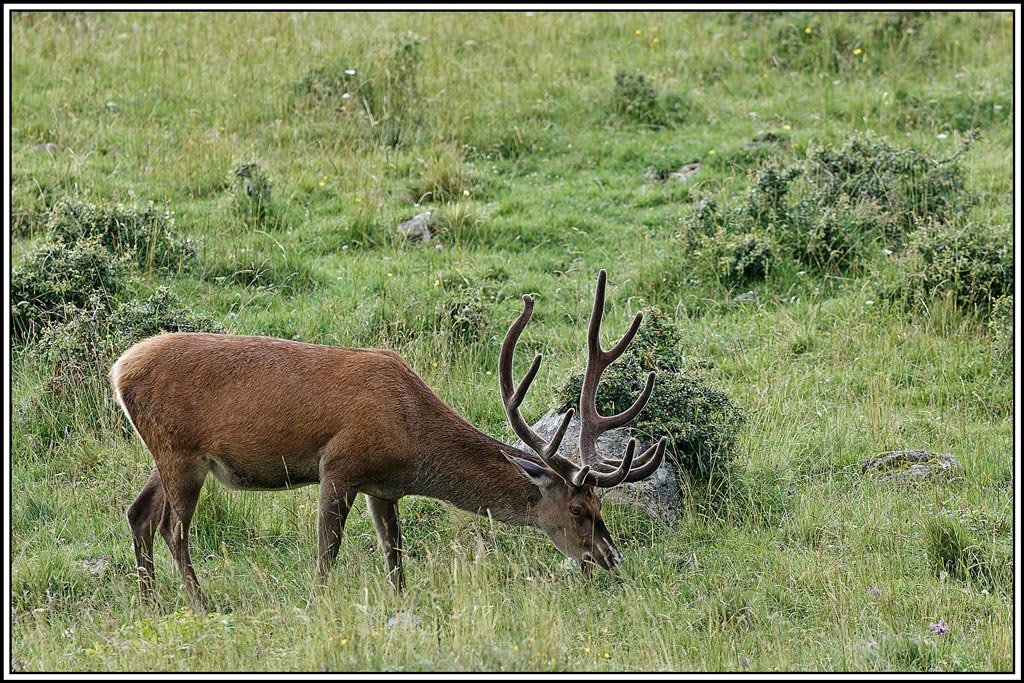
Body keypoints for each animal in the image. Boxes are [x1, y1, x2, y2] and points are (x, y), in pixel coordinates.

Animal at [112, 269, 667, 609]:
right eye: (579, 510)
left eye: (602, 507)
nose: (610, 558)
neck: (412, 437)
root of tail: (119, 371)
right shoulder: (340, 464)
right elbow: (327, 552)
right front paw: (317, 605)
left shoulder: (383, 488)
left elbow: (395, 558)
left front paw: (402, 607)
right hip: (180, 452)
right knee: (174, 530)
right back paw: (201, 605)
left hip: (169, 455)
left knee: (139, 513)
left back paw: (151, 603)